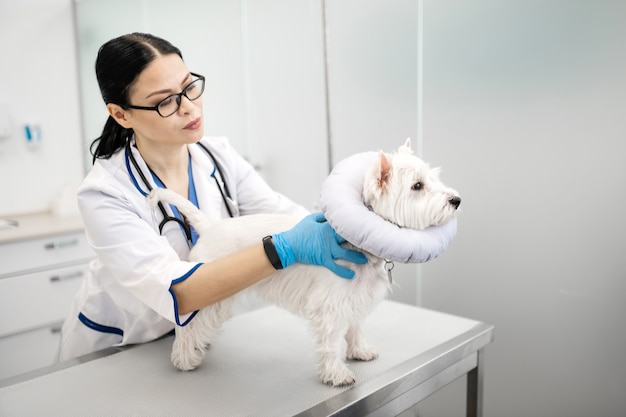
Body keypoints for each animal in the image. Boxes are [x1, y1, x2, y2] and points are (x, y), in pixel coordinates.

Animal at [145, 140, 458, 386]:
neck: (356, 245)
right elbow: (331, 341)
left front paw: (360, 351)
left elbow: (355, 326)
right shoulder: (329, 305)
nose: (457, 200)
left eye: (433, 179)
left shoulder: (355, 299)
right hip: (212, 295)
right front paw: (336, 375)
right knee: (187, 325)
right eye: (417, 186)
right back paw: (185, 358)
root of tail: (209, 227)